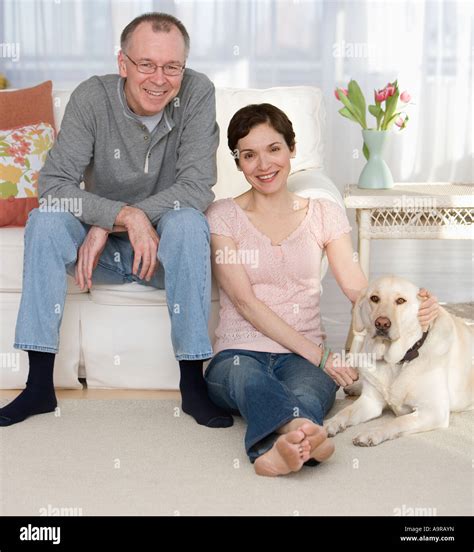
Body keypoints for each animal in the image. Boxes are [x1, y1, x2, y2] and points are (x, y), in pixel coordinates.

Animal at [324, 274, 472, 446]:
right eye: (374, 298)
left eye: (401, 300)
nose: (382, 323)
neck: (398, 359)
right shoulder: (370, 402)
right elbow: (345, 411)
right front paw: (329, 423)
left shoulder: (434, 411)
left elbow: (397, 421)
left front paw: (371, 432)